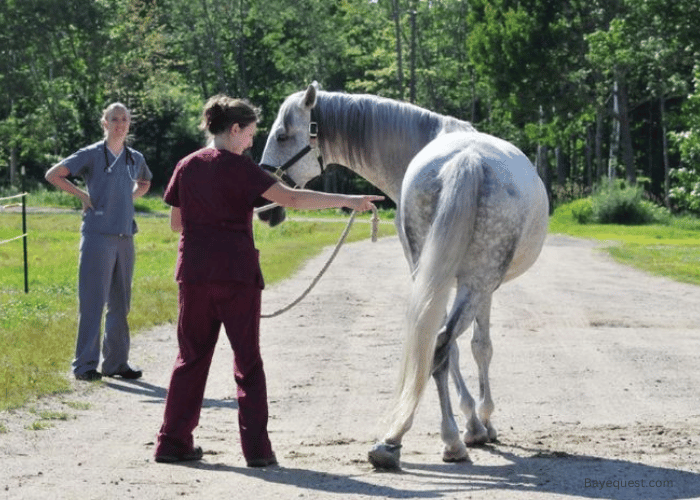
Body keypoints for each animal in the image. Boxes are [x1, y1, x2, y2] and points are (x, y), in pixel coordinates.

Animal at [260, 82, 548, 468]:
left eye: (282, 135)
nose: (266, 208)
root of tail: (465, 161)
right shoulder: (480, 286)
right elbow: (479, 347)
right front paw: (481, 421)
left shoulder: (431, 275)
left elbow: (461, 347)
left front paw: (473, 420)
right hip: (477, 282)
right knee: (441, 343)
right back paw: (452, 440)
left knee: (435, 343)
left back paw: (396, 441)